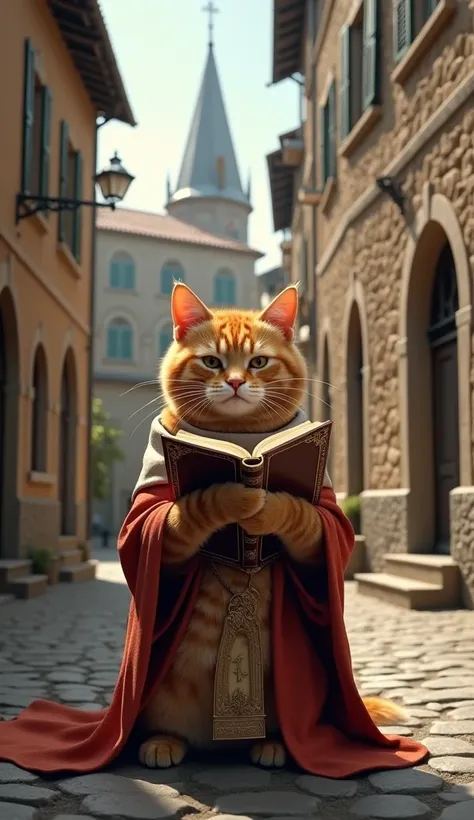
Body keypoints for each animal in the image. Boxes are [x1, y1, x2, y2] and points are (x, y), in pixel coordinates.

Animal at [138, 284, 408, 768]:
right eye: (212, 362)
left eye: (259, 362)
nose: (235, 382)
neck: (242, 440)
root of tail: (219, 746)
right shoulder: (155, 525)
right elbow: (187, 510)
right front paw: (235, 494)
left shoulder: (325, 521)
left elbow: (304, 517)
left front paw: (268, 501)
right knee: (174, 729)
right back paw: (164, 741)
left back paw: (274, 744)